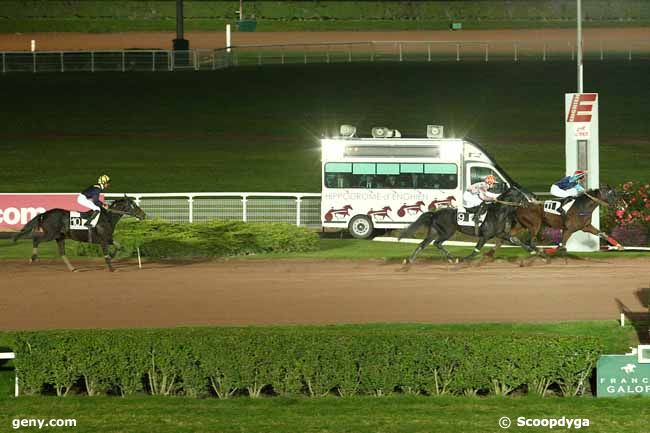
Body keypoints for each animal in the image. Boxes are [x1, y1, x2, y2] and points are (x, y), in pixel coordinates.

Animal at [11, 196, 146, 270]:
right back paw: (33, 258)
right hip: (50, 234)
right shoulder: (103, 240)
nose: (143, 215)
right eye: (133, 205)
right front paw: (111, 268)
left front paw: (113, 257)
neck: (107, 217)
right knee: (36, 240)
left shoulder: (108, 238)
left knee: (62, 252)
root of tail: (44, 214)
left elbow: (119, 246)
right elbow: (107, 254)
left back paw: (72, 268)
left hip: (60, 237)